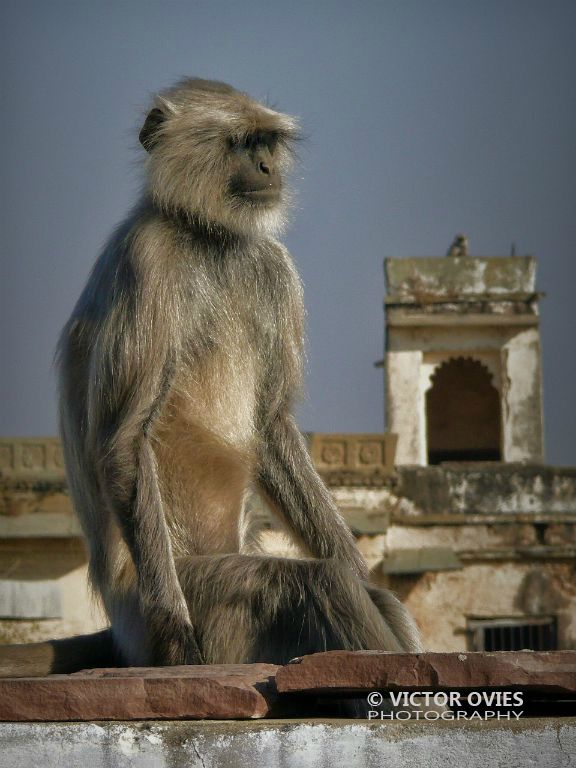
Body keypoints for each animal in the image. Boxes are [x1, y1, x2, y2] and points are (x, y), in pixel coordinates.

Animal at [0, 78, 424, 676]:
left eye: (267, 142)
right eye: (241, 143)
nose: (268, 167)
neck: (207, 236)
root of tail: (121, 632)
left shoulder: (271, 263)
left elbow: (268, 426)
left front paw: (365, 572)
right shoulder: (148, 259)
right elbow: (125, 439)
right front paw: (177, 636)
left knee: (352, 589)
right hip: (194, 598)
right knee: (316, 584)